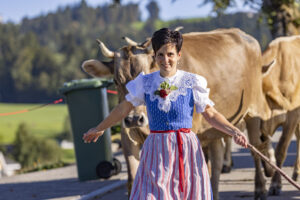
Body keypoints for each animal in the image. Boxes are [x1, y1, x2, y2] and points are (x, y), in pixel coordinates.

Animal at [82, 28, 272, 200]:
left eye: (146, 75)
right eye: (115, 81)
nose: (135, 118)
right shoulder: (128, 135)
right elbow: (132, 178)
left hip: (254, 110)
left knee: (255, 149)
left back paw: (261, 188)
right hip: (213, 130)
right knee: (216, 165)